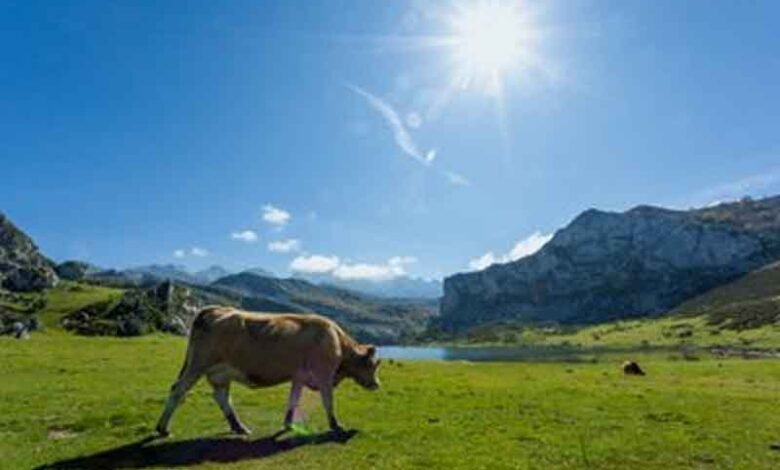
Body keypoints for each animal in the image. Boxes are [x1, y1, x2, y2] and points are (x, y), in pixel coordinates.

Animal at [155, 304, 380, 436]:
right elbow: (328, 401)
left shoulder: (299, 376)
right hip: (197, 364)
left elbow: (293, 400)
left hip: (220, 373)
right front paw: (336, 425)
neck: (337, 341)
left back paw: (239, 427)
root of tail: (213, 309)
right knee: (178, 390)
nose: (377, 384)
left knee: (222, 397)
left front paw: (288, 424)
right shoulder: (324, 375)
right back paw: (162, 428)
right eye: (371, 365)